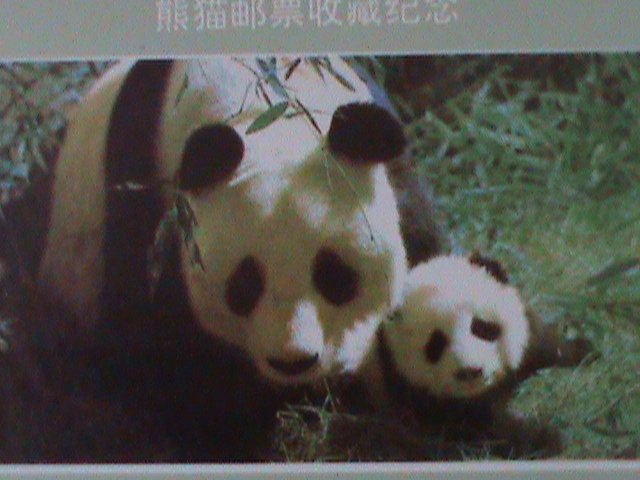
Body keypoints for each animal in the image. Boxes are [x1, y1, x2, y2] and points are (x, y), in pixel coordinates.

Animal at [0, 57, 447, 461]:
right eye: (245, 284)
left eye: (335, 276)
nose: (293, 361)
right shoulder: (144, 198)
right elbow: (163, 358)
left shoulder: (397, 175)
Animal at [354, 253, 592, 457]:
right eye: (435, 345)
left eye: (481, 327)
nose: (470, 371)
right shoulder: (411, 394)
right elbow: (483, 431)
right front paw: (544, 438)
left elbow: (542, 344)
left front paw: (583, 350)